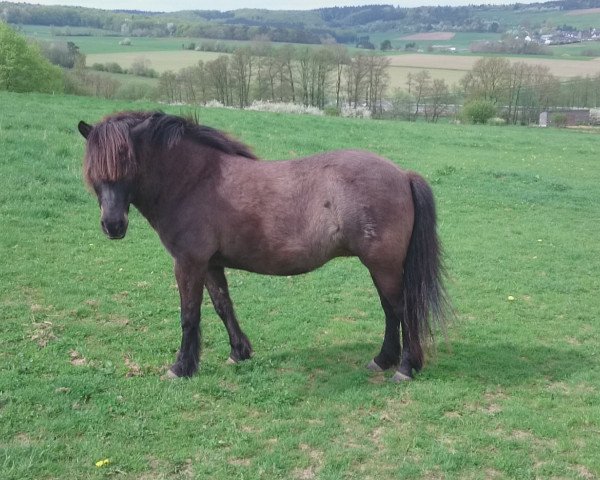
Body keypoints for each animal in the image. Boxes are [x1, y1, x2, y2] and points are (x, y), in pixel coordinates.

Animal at [77, 110, 448, 380]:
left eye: (127, 163)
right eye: (93, 170)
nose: (113, 225)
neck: (195, 181)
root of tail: (402, 175)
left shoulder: (188, 263)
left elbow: (189, 314)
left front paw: (181, 368)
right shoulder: (210, 264)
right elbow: (223, 306)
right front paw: (238, 352)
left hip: (383, 264)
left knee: (402, 308)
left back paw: (405, 367)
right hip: (380, 266)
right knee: (390, 310)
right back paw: (383, 360)